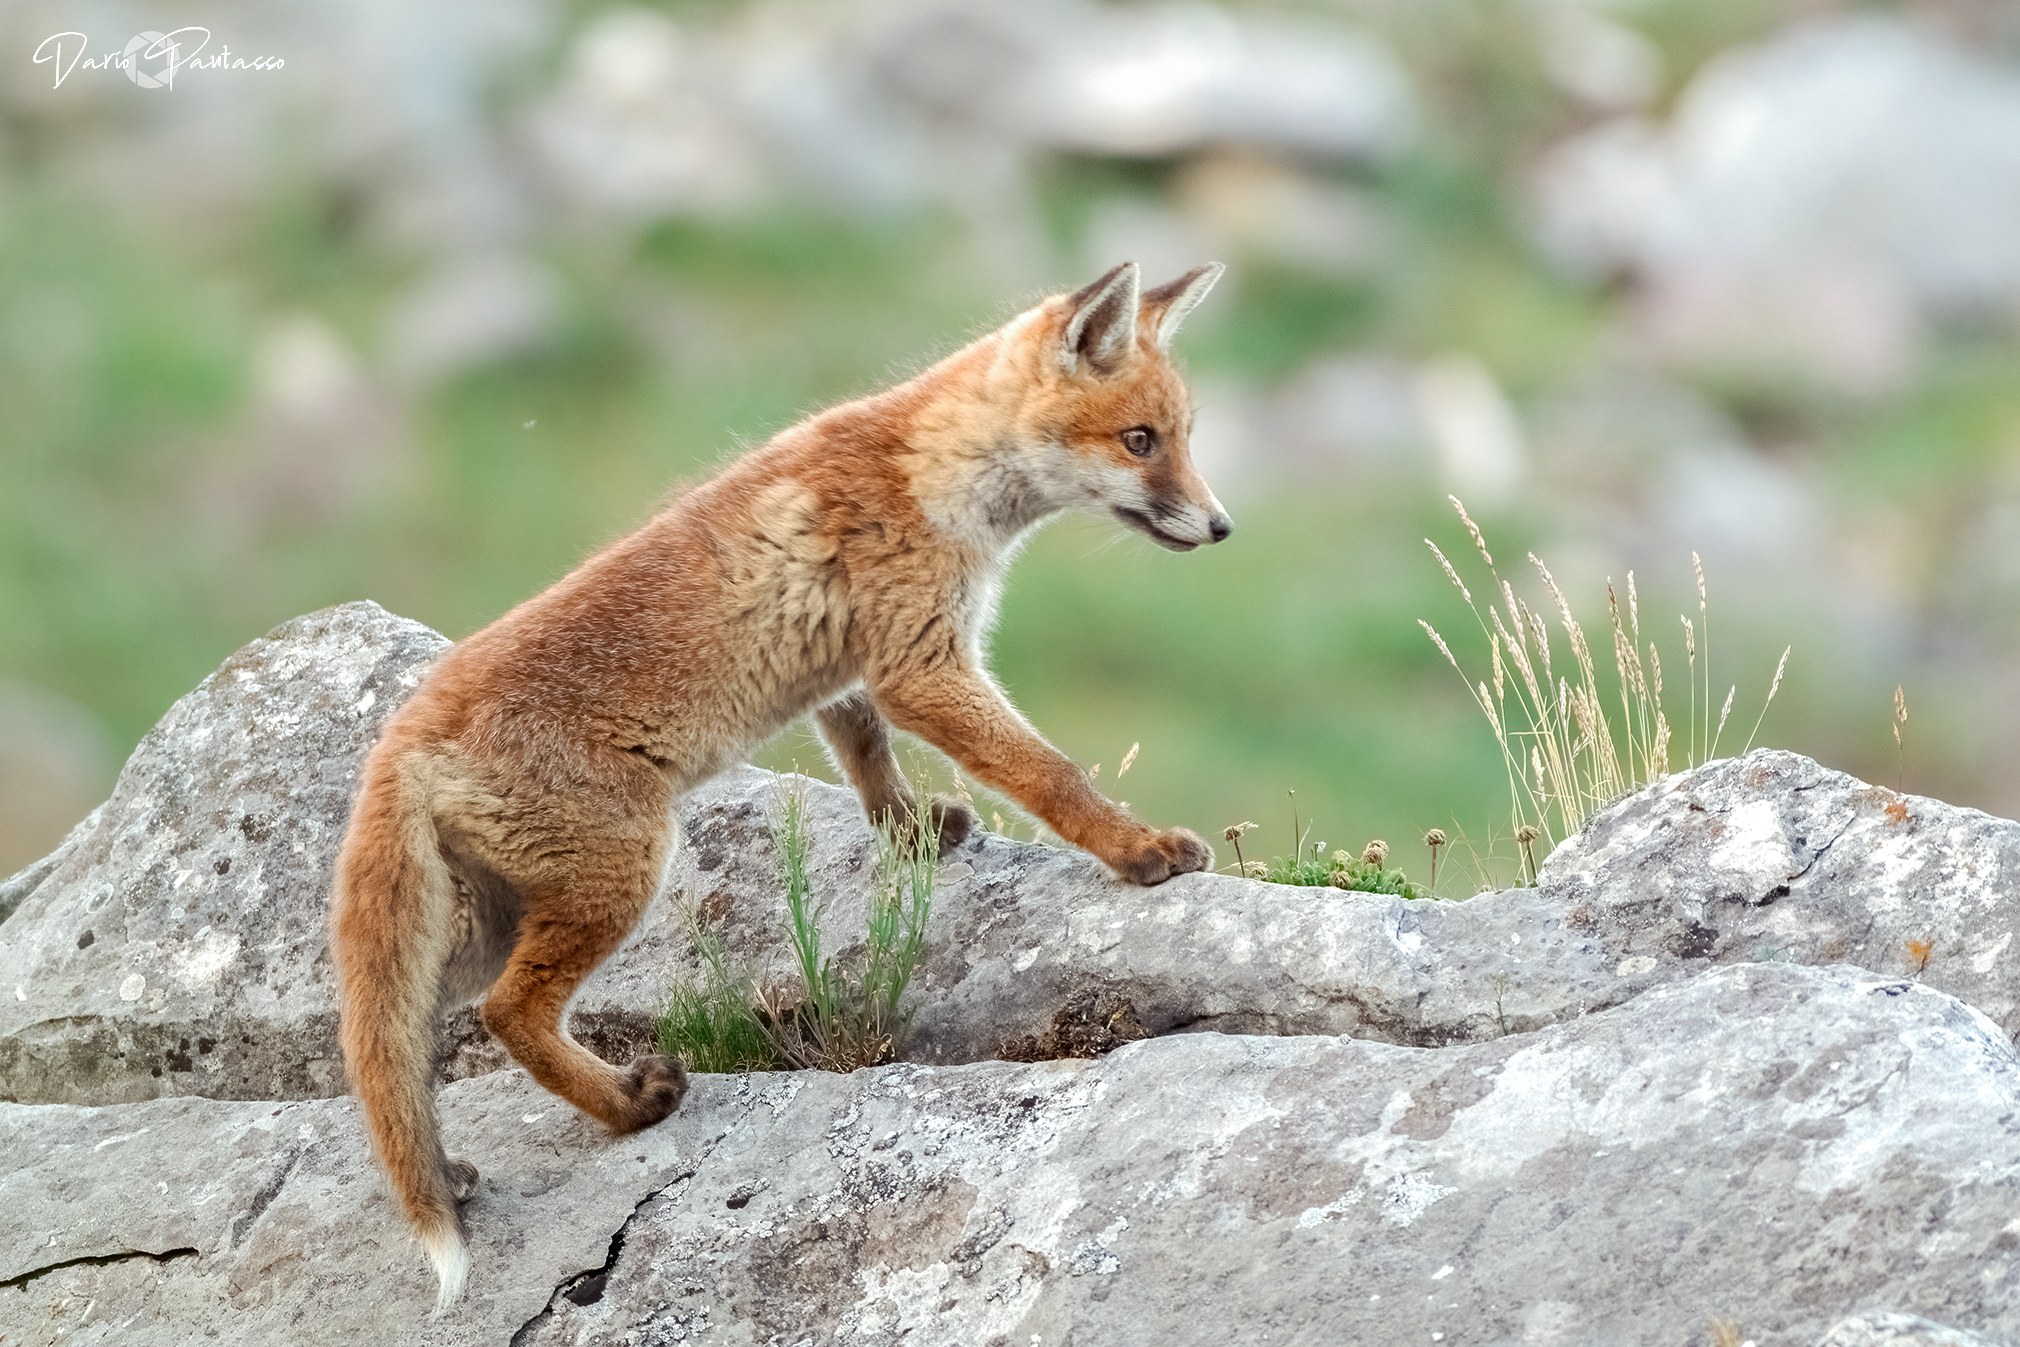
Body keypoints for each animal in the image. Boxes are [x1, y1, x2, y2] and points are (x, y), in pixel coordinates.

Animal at [329, 260, 1233, 1311]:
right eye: (1141, 440)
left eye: (1183, 435)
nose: (1222, 526)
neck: (932, 470)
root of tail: (400, 737)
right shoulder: (921, 663)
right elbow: (1048, 773)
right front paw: (1138, 849)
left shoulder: (851, 669)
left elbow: (868, 756)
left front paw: (910, 835)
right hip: (618, 873)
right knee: (508, 1014)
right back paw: (628, 1108)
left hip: (476, 928)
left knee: (399, 1056)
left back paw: (447, 1170)